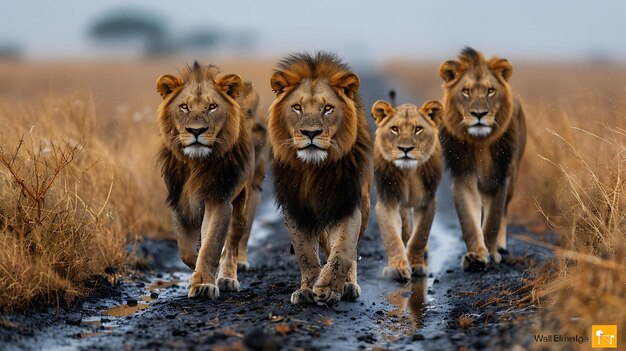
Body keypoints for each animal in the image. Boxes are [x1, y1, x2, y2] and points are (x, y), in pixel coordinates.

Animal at [155, 62, 254, 300]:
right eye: (184, 107)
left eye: (212, 107)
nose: (196, 130)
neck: (196, 163)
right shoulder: (179, 201)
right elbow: (186, 249)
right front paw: (198, 270)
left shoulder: (219, 199)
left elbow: (211, 246)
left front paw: (203, 284)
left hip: (242, 203)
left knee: (232, 244)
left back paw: (227, 278)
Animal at [266, 51, 370, 306]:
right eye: (297, 107)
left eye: (328, 108)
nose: (311, 133)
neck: (314, 169)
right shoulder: (295, 207)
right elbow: (305, 253)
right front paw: (308, 288)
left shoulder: (346, 202)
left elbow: (343, 251)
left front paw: (326, 288)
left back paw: (348, 286)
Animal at [370, 98, 444, 280]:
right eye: (394, 129)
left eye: (418, 129)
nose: (405, 149)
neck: (408, 172)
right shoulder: (387, 201)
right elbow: (392, 236)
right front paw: (397, 268)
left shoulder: (427, 201)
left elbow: (420, 235)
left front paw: (416, 264)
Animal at [438, 46, 528, 272]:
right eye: (466, 91)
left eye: (490, 91)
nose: (479, 114)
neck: (480, 143)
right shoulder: (462, 177)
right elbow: (469, 221)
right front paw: (477, 256)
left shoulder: (501, 177)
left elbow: (493, 220)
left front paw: (491, 252)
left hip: (513, 178)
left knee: (504, 212)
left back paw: (501, 246)